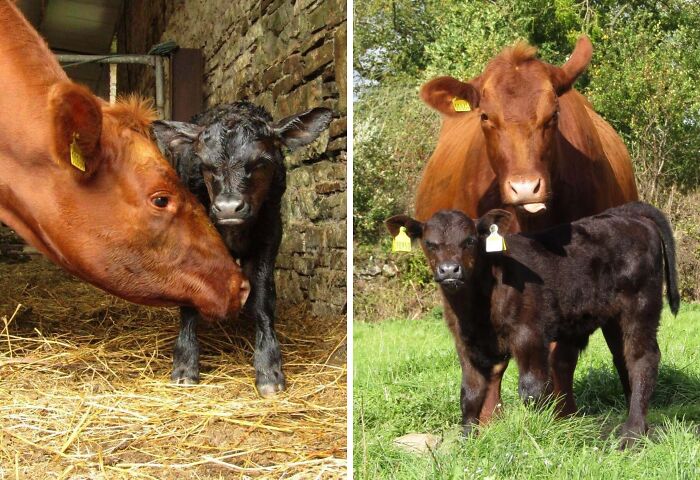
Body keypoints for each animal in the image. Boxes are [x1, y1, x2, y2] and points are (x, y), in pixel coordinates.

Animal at [152, 102, 332, 396]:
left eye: (261, 162)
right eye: (205, 165)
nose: (228, 208)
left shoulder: (270, 234)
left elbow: (262, 298)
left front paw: (269, 369)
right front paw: (184, 366)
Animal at [386, 202, 679, 448]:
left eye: (470, 241)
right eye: (430, 243)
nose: (449, 270)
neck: (475, 311)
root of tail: (626, 213)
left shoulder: (529, 333)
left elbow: (531, 388)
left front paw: (532, 434)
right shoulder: (465, 342)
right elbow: (470, 393)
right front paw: (466, 441)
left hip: (641, 305)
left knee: (643, 359)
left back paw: (631, 434)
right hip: (613, 318)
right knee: (623, 359)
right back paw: (638, 424)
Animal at [416, 36, 639, 418]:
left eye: (553, 115)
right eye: (485, 116)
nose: (525, 187)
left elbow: (561, 352)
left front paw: (560, 413)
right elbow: (487, 354)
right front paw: (489, 419)